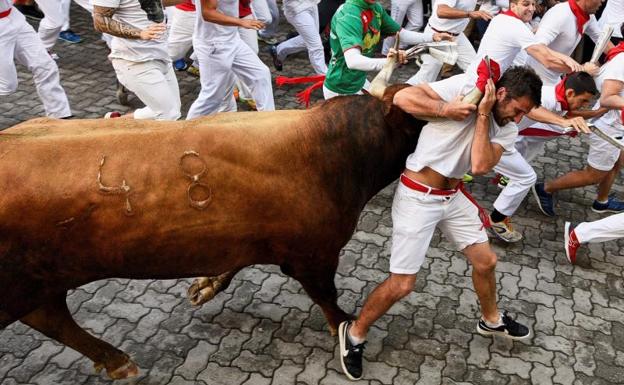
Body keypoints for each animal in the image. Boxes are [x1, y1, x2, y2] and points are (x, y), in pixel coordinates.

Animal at [0, 85, 424, 378]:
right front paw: (347, 333)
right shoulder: (314, 255)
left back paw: (117, 361)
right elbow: (329, 300)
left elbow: (234, 263)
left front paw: (205, 286)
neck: (337, 152)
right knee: (52, 320)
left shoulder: (251, 240)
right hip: (20, 287)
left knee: (52, 318)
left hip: (40, 283)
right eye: (417, 125)